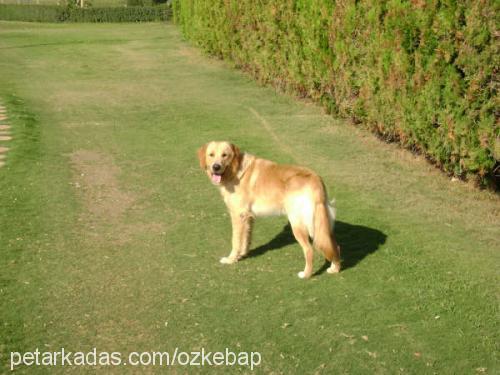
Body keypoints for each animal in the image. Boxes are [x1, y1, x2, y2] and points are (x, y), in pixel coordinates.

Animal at [197, 141, 342, 280]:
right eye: (211, 155)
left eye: (224, 155)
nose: (216, 167)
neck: (235, 170)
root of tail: (315, 179)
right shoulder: (248, 217)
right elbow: (246, 239)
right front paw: (242, 255)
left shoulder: (238, 216)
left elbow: (236, 241)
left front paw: (231, 259)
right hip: (318, 225)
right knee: (334, 245)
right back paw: (334, 268)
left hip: (299, 223)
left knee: (309, 250)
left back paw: (306, 275)